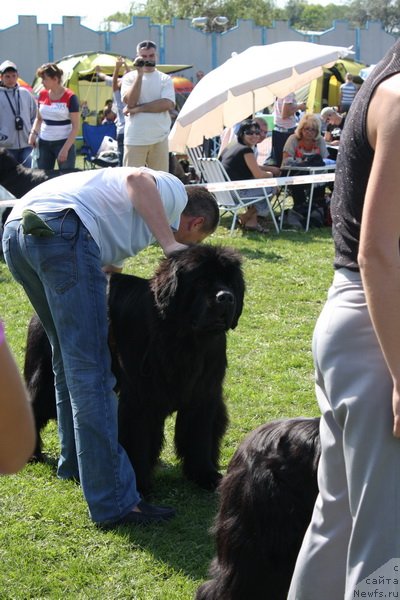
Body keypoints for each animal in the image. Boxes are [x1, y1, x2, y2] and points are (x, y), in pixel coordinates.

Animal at [25, 246, 245, 494]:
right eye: (202, 281)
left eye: (230, 282)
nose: (226, 297)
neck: (185, 340)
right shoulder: (140, 400)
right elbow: (138, 439)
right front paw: (139, 485)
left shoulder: (204, 396)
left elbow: (200, 436)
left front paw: (204, 474)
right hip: (46, 379)